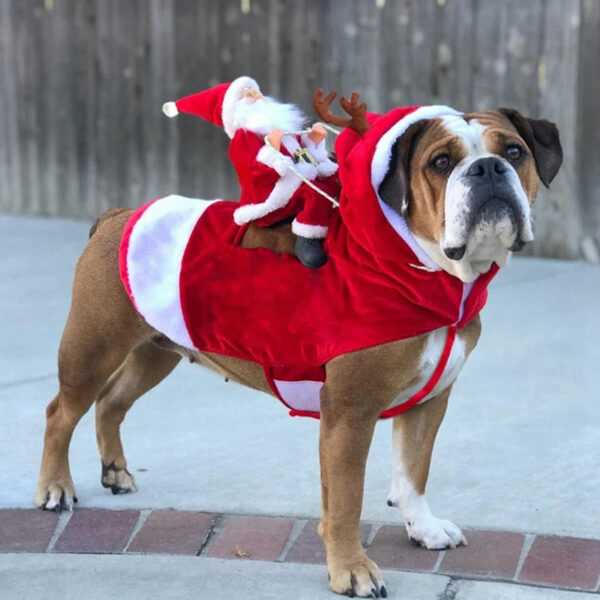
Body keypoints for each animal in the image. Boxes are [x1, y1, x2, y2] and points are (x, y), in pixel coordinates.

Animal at [36, 98, 564, 596]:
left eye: (514, 152)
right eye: (440, 162)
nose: (488, 169)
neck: (422, 267)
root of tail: (118, 216)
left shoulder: (430, 402)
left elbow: (415, 471)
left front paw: (425, 528)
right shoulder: (349, 415)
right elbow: (347, 501)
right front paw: (353, 570)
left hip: (155, 351)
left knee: (111, 403)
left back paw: (115, 472)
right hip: (92, 350)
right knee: (61, 412)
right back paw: (55, 488)